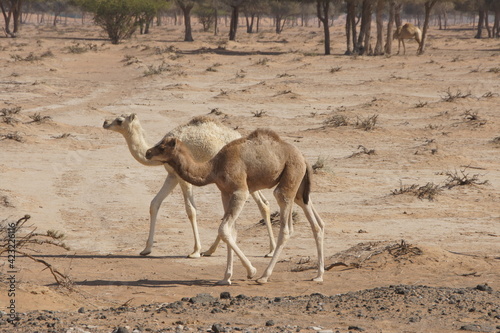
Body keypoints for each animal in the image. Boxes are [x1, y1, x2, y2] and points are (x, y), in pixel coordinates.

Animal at [101, 113, 274, 256]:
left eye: (119, 120)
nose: (105, 122)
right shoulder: (172, 176)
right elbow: (154, 203)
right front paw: (146, 249)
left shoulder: (183, 175)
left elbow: (191, 210)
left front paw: (195, 251)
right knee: (263, 203)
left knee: (260, 204)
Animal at [146, 128, 324, 284]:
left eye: (162, 147)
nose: (148, 152)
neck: (213, 168)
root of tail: (304, 158)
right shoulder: (225, 193)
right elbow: (231, 231)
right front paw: (226, 278)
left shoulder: (240, 191)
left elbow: (224, 229)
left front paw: (251, 271)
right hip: (299, 187)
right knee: (316, 222)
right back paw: (318, 276)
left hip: (289, 179)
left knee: (286, 226)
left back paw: (264, 277)